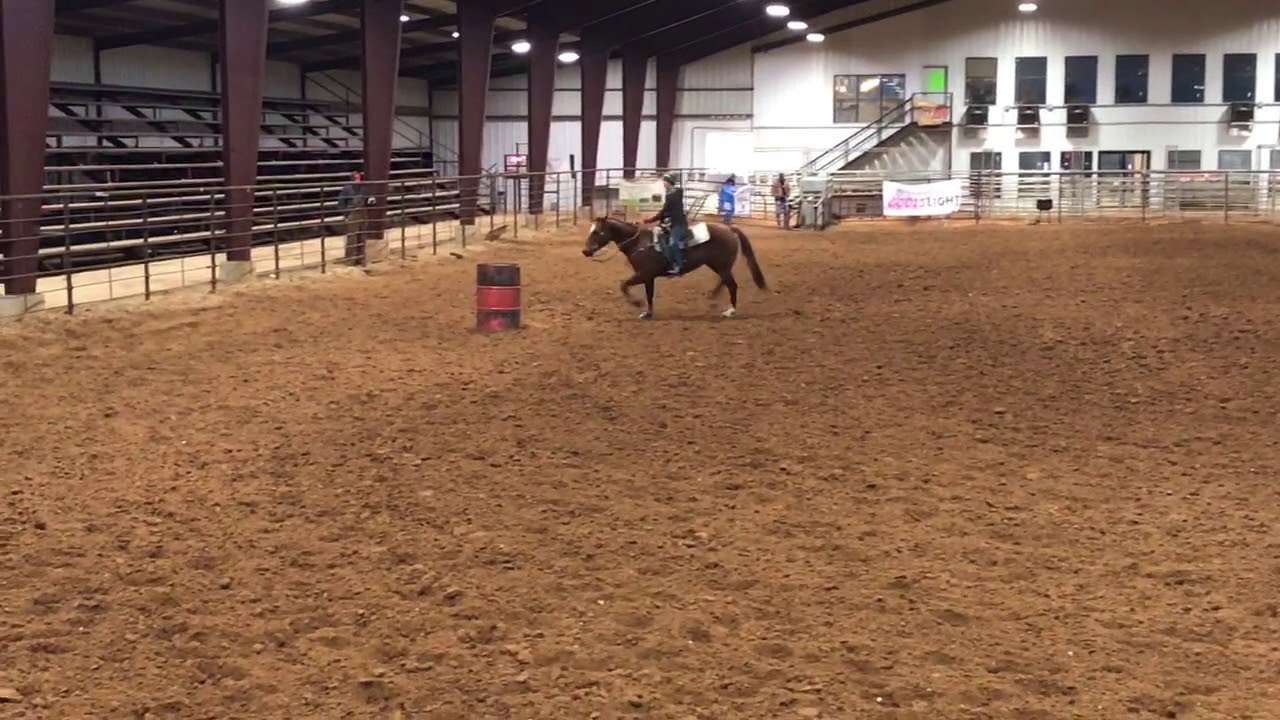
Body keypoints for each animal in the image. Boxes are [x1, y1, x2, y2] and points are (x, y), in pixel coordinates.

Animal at [581, 215, 767, 319]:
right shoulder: (648, 277)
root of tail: (729, 228)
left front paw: (636, 303)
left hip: (722, 266)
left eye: (597, 232)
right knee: (724, 282)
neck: (639, 242)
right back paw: (712, 298)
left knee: (732, 285)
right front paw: (648, 313)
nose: (585, 251)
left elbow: (623, 285)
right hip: (719, 266)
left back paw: (731, 311)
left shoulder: (643, 274)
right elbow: (649, 295)